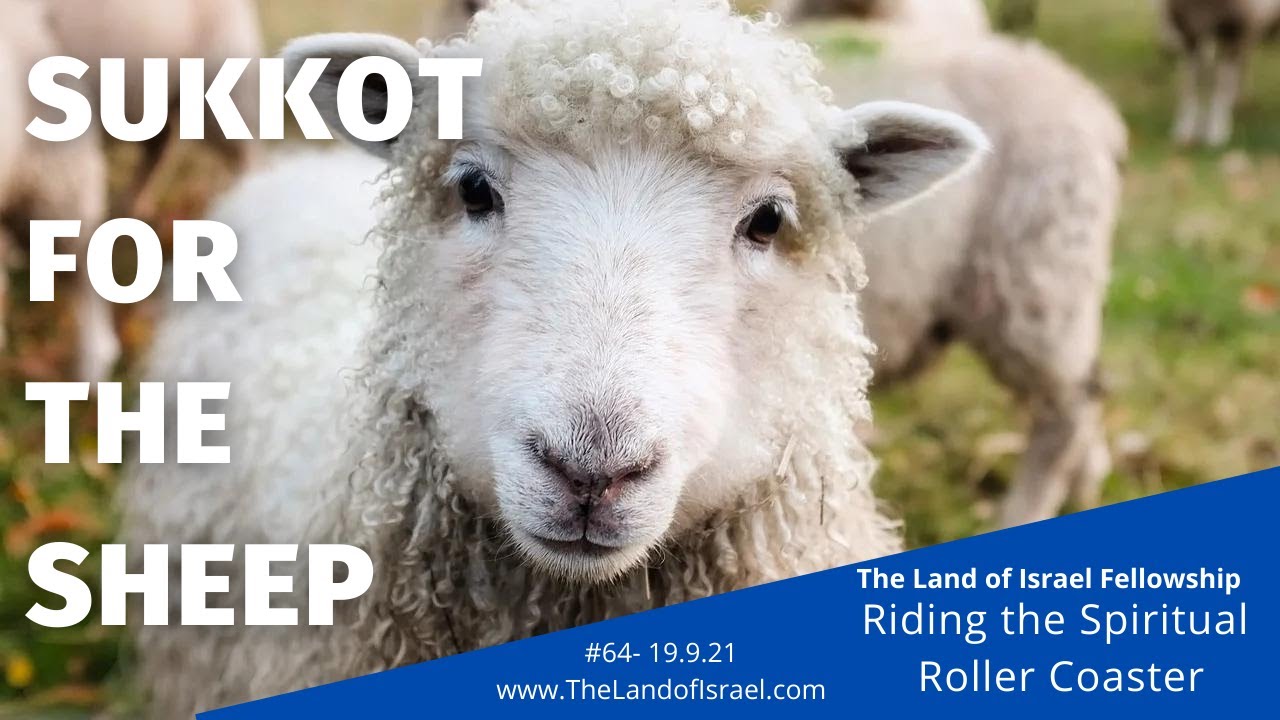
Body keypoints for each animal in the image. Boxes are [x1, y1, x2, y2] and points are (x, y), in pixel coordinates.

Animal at [1157, 0, 1280, 146]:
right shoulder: (1189, 32)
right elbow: (1191, 85)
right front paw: (1186, 130)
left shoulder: (1232, 31)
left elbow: (1220, 85)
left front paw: (1216, 132)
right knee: (1244, 58)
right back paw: (1240, 100)